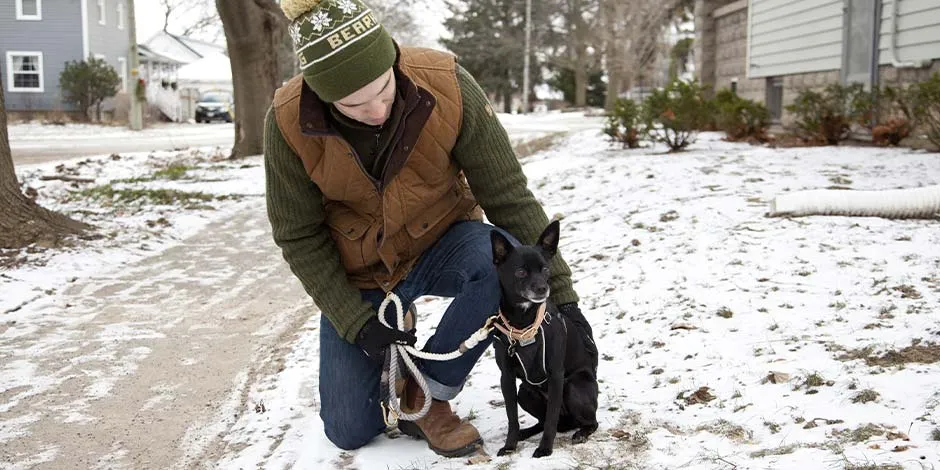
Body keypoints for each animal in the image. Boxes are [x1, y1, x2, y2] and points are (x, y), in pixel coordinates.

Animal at [488, 221, 600, 458]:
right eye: (520, 271)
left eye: (546, 269)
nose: (542, 288)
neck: (523, 325)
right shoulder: (507, 378)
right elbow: (512, 417)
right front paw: (510, 445)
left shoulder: (556, 376)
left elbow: (550, 419)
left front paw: (545, 449)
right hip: (525, 392)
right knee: (543, 421)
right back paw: (526, 433)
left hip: (573, 387)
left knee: (588, 422)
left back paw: (582, 432)